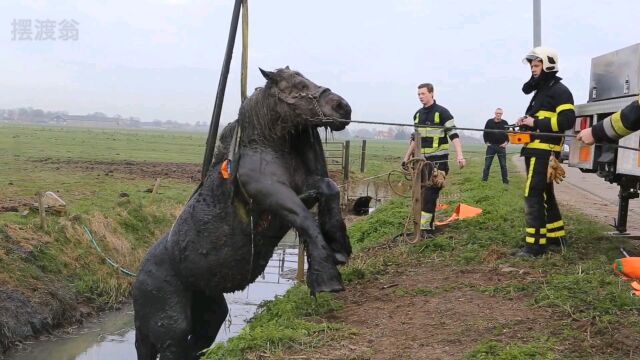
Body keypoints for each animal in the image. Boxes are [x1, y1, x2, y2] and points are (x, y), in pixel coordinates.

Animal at [134, 67, 352, 358]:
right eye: (299, 85)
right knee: (174, 346)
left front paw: (339, 248)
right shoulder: (273, 194)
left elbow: (329, 188)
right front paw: (326, 277)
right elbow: (305, 219)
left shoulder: (304, 188)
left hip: (209, 308)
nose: (343, 108)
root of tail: (137, 280)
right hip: (170, 327)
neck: (265, 148)